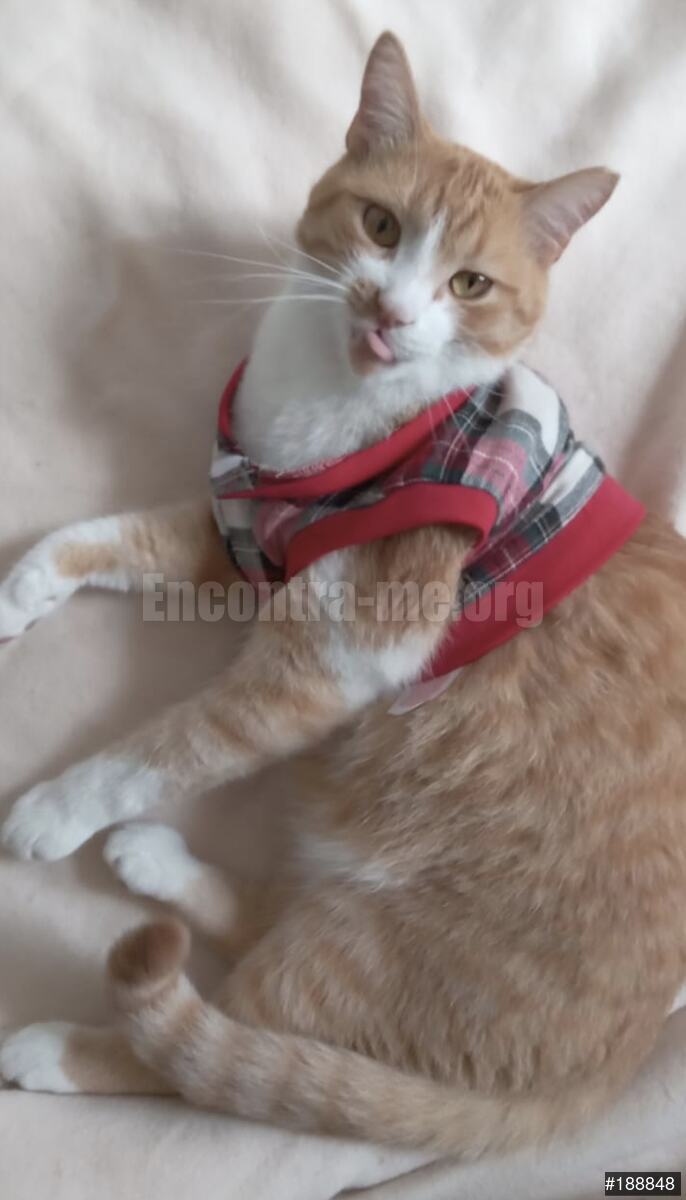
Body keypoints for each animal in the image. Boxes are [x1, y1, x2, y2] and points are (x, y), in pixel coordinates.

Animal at [2, 30, 686, 1159]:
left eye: (469, 283)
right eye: (379, 226)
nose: (391, 310)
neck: (339, 415)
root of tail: (604, 1075)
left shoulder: (338, 652)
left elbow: (170, 742)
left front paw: (57, 806)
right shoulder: (248, 532)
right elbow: (112, 536)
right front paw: (18, 588)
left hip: (363, 949)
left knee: (212, 1056)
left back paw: (56, 1043)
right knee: (266, 930)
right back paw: (156, 864)